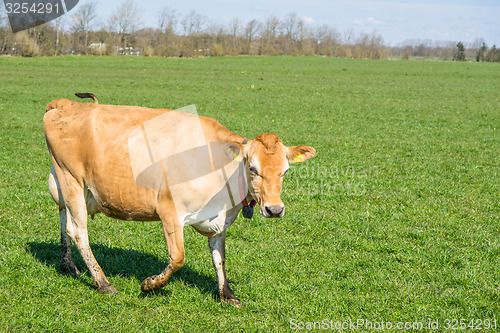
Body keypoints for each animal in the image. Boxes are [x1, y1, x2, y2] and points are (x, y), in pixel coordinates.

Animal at [44, 94, 316, 306]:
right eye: (252, 168)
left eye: (285, 171)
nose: (274, 209)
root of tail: (64, 104)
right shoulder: (169, 211)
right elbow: (177, 258)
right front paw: (151, 284)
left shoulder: (219, 221)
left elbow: (220, 257)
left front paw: (227, 294)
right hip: (71, 178)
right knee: (78, 231)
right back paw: (102, 282)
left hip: (64, 183)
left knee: (63, 217)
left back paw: (68, 265)